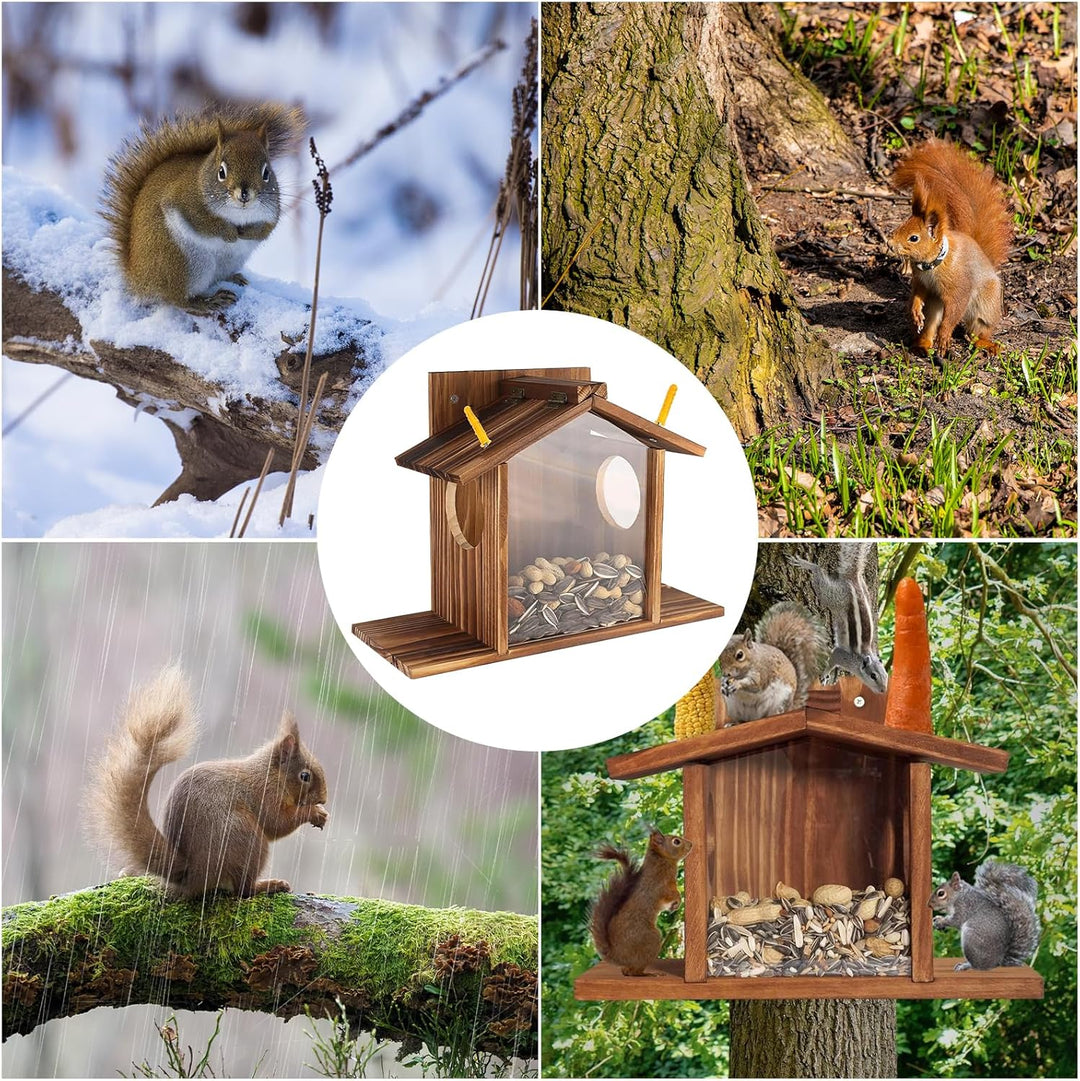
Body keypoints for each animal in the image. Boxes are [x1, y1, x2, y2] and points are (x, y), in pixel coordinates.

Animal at [86, 665, 328, 898]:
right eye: (305, 776)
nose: (324, 799)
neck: (271, 774)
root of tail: (193, 873)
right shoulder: (264, 794)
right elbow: (276, 822)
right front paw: (314, 813)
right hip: (247, 839)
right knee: (243, 891)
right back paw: (268, 885)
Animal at [102, 103, 306, 314]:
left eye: (266, 173)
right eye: (221, 172)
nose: (244, 194)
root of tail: (137, 276)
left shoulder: (271, 211)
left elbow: (265, 229)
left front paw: (249, 232)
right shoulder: (183, 201)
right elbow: (204, 223)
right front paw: (229, 233)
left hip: (225, 261)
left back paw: (233, 277)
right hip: (184, 263)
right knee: (178, 300)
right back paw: (207, 302)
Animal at [590, 829, 691, 976]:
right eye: (676, 841)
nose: (691, 844)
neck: (661, 860)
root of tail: (617, 956)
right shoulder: (663, 886)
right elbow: (670, 895)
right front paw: (678, 901)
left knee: (627, 971)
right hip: (650, 940)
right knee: (634, 972)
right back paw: (649, 974)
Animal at [790, 544, 889, 695]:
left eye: (886, 675)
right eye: (873, 676)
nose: (883, 690)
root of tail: (853, 579)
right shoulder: (842, 656)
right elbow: (832, 661)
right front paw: (825, 675)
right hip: (834, 597)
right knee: (820, 575)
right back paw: (808, 565)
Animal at [890, 138, 1012, 357]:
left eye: (914, 238)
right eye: (901, 225)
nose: (889, 244)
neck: (933, 264)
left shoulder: (960, 287)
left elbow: (954, 310)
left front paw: (945, 335)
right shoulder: (921, 280)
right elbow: (918, 292)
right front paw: (915, 310)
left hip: (985, 307)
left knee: (977, 331)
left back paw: (984, 343)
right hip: (935, 304)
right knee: (931, 322)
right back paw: (923, 344)